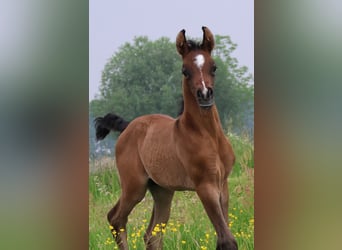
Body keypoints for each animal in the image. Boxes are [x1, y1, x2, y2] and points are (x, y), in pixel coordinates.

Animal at [94, 27, 238, 250]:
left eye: (214, 67)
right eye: (185, 70)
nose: (205, 95)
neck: (208, 135)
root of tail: (128, 126)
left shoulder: (222, 184)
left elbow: (222, 238)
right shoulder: (205, 185)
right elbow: (227, 240)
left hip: (161, 190)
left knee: (152, 235)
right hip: (134, 186)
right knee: (116, 218)